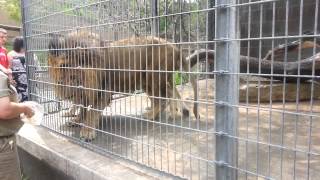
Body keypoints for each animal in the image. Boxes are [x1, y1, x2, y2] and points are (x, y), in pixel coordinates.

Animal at [48, 30, 199, 141]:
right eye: (59, 80)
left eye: (72, 76)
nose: (67, 96)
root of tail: (174, 46)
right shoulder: (86, 93)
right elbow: (83, 108)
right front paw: (77, 120)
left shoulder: (103, 91)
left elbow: (92, 112)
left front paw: (87, 131)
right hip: (148, 81)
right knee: (166, 94)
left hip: (153, 76)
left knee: (162, 98)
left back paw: (152, 115)